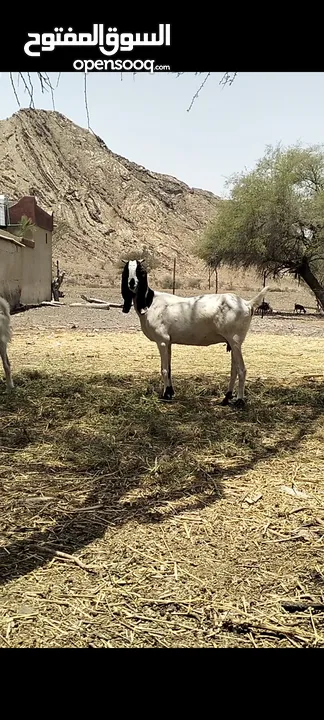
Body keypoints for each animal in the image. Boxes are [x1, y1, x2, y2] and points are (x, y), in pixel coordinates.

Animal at [120, 258, 270, 408]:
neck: (151, 302)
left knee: (241, 370)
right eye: (126, 270)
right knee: (234, 370)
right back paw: (226, 398)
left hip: (235, 340)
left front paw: (165, 395)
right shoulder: (168, 342)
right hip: (233, 343)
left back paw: (239, 401)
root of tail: (247, 304)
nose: (131, 283)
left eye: (140, 270)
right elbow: (169, 368)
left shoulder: (161, 341)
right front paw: (170, 392)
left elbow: (164, 369)